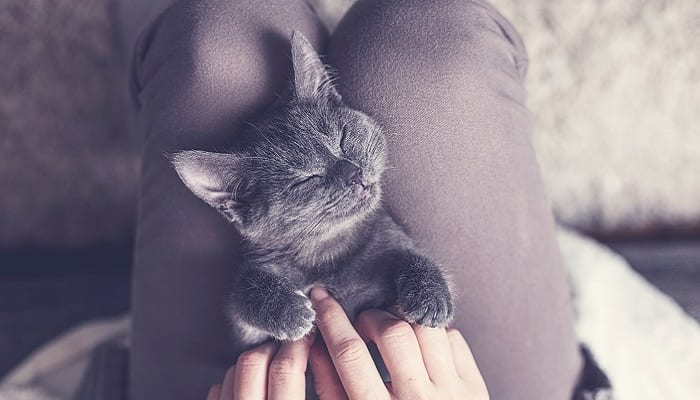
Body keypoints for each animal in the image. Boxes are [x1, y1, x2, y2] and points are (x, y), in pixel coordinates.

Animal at [170, 31, 454, 346]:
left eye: (342, 138)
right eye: (307, 179)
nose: (354, 174)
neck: (329, 252)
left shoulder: (388, 234)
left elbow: (413, 254)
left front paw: (431, 294)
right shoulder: (248, 335)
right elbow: (241, 292)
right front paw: (287, 310)